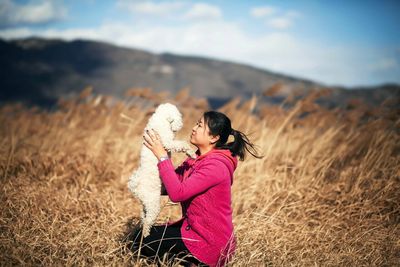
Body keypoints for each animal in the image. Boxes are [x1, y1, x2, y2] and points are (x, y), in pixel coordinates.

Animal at [128, 103, 195, 238]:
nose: (179, 124)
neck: (160, 118)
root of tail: (135, 188)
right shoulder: (167, 142)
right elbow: (181, 144)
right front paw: (192, 153)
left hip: (145, 204)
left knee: (143, 217)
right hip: (153, 203)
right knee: (148, 221)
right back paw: (146, 234)